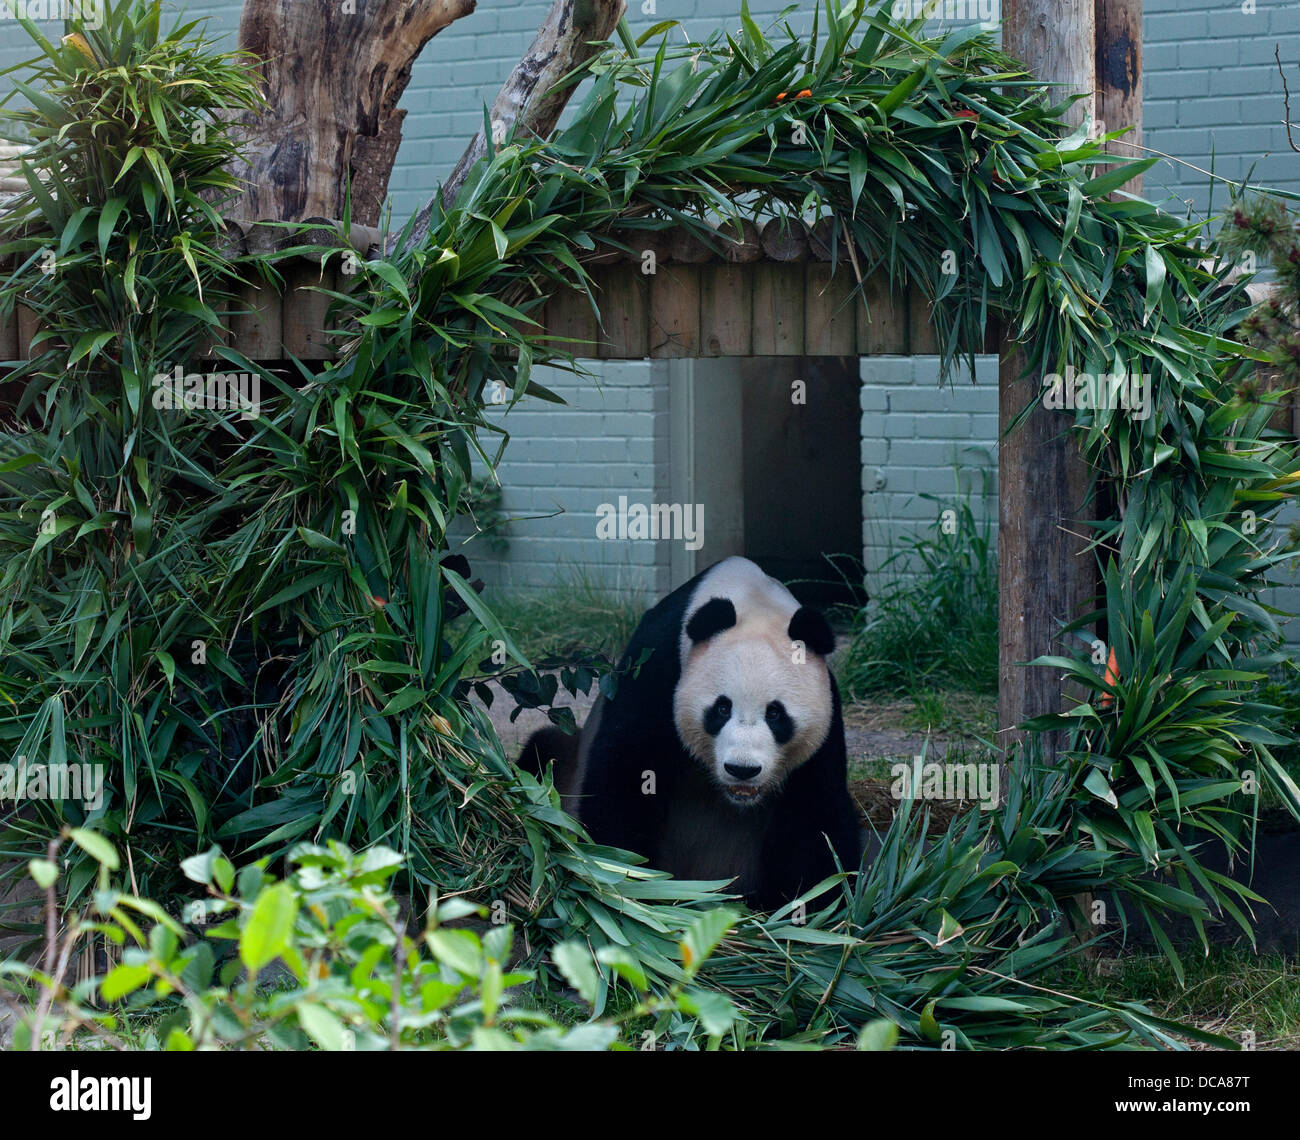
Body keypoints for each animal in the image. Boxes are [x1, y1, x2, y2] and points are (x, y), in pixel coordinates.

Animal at [517, 556, 863, 909]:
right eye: (722, 709)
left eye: (775, 714)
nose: (742, 769)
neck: (752, 601)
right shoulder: (657, 667)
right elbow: (627, 773)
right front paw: (630, 882)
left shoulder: (825, 717)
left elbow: (816, 812)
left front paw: (805, 904)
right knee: (546, 747)